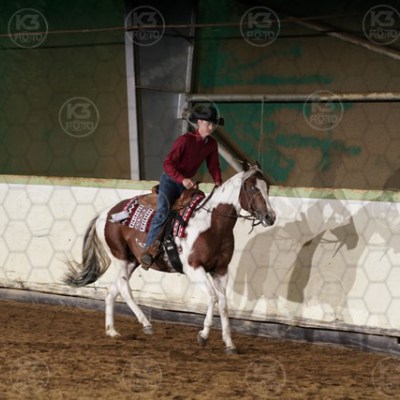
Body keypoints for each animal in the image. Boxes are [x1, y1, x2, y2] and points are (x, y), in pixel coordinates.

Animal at [63, 160, 276, 354]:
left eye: (267, 187)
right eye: (251, 187)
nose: (270, 217)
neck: (212, 225)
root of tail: (104, 214)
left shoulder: (221, 271)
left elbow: (223, 303)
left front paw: (229, 343)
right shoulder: (194, 268)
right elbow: (213, 297)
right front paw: (203, 335)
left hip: (132, 261)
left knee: (111, 290)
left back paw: (112, 331)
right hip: (120, 258)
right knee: (124, 289)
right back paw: (146, 324)